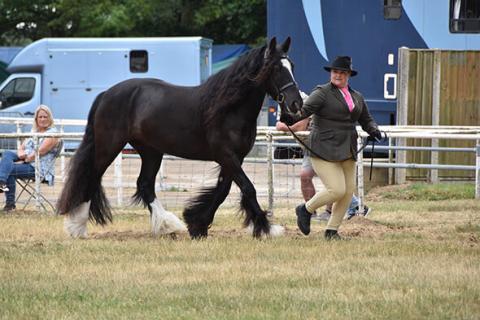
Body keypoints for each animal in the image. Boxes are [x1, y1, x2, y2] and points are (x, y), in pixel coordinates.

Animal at [57, 37, 300, 238]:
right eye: (276, 68)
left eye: (292, 66)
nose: (296, 104)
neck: (229, 109)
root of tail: (106, 94)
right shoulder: (226, 156)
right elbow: (248, 188)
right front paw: (267, 228)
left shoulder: (234, 158)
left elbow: (223, 191)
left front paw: (197, 225)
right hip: (109, 146)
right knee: (93, 178)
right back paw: (77, 227)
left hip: (151, 151)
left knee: (145, 184)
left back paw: (168, 225)